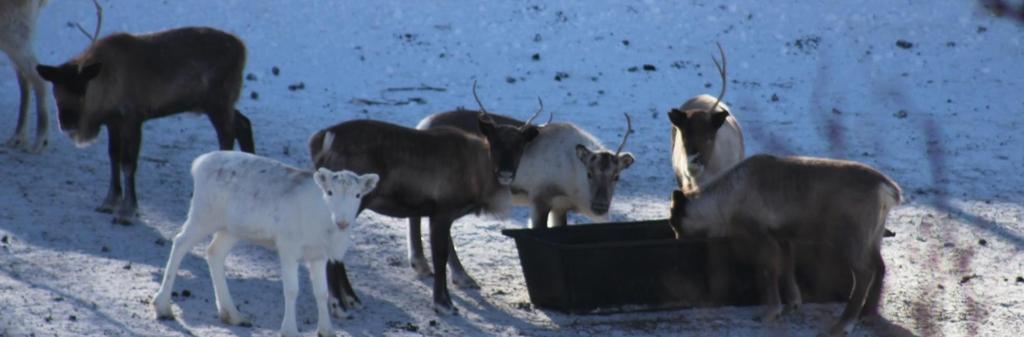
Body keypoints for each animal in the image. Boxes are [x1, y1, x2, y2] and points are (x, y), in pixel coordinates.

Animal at [149, 150, 378, 335]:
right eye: (330, 192)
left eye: (358, 194)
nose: (342, 221)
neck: (323, 222)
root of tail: (198, 163)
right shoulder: (288, 246)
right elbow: (291, 289)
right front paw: (289, 330)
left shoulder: (318, 255)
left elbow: (321, 293)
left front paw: (326, 331)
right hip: (203, 214)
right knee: (180, 242)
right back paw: (163, 307)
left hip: (230, 229)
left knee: (214, 252)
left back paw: (232, 315)